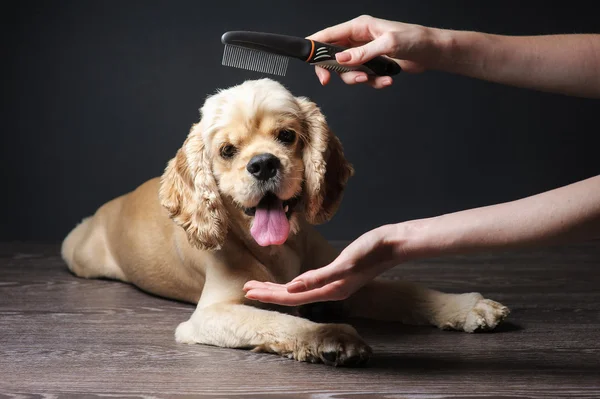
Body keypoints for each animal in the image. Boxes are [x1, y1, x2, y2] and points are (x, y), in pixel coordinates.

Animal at [61, 76, 508, 368]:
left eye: (287, 136)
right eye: (227, 150)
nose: (263, 164)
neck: (280, 250)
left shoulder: (334, 278)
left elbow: (405, 291)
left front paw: (464, 306)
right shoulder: (210, 316)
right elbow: (277, 319)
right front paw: (329, 337)